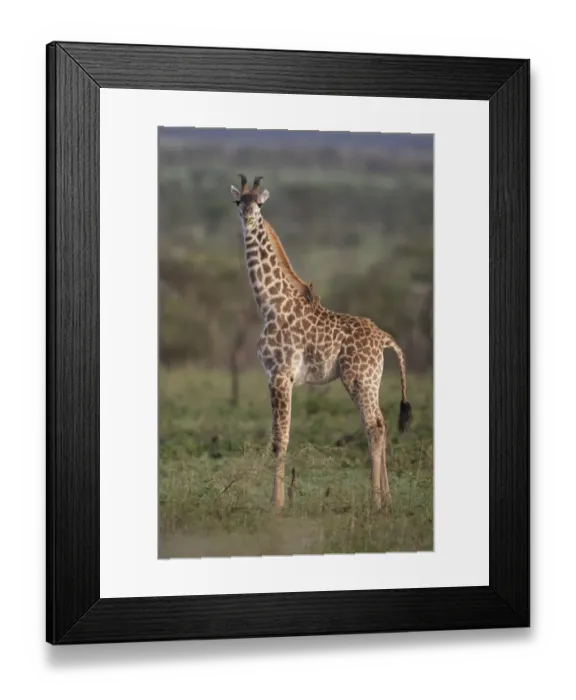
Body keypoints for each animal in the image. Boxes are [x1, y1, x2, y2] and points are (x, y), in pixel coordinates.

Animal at [230, 174, 413, 512]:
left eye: (259, 203)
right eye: (239, 201)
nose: (247, 217)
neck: (270, 304)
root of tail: (385, 338)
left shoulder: (280, 374)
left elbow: (280, 438)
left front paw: (276, 504)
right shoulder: (275, 376)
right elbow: (279, 436)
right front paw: (278, 501)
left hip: (359, 379)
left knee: (374, 426)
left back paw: (374, 501)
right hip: (371, 380)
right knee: (380, 424)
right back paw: (387, 500)